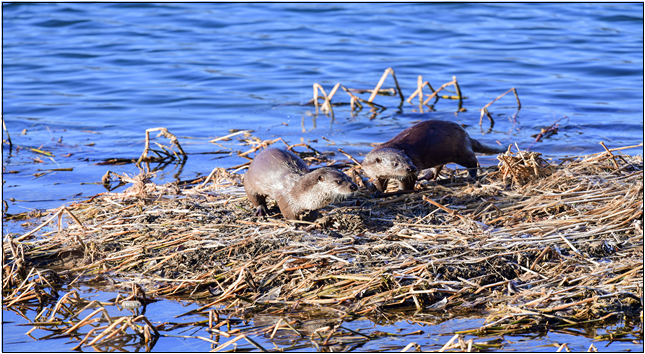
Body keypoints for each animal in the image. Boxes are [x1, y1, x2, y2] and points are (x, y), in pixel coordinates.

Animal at [362, 120, 508, 192]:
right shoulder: (375, 173)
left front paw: (400, 190)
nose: (411, 168)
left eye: (408, 159)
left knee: (472, 161)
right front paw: (377, 191)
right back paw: (425, 178)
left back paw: (470, 176)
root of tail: (466, 135)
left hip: (461, 151)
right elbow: (380, 183)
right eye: (395, 163)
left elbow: (407, 183)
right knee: (436, 169)